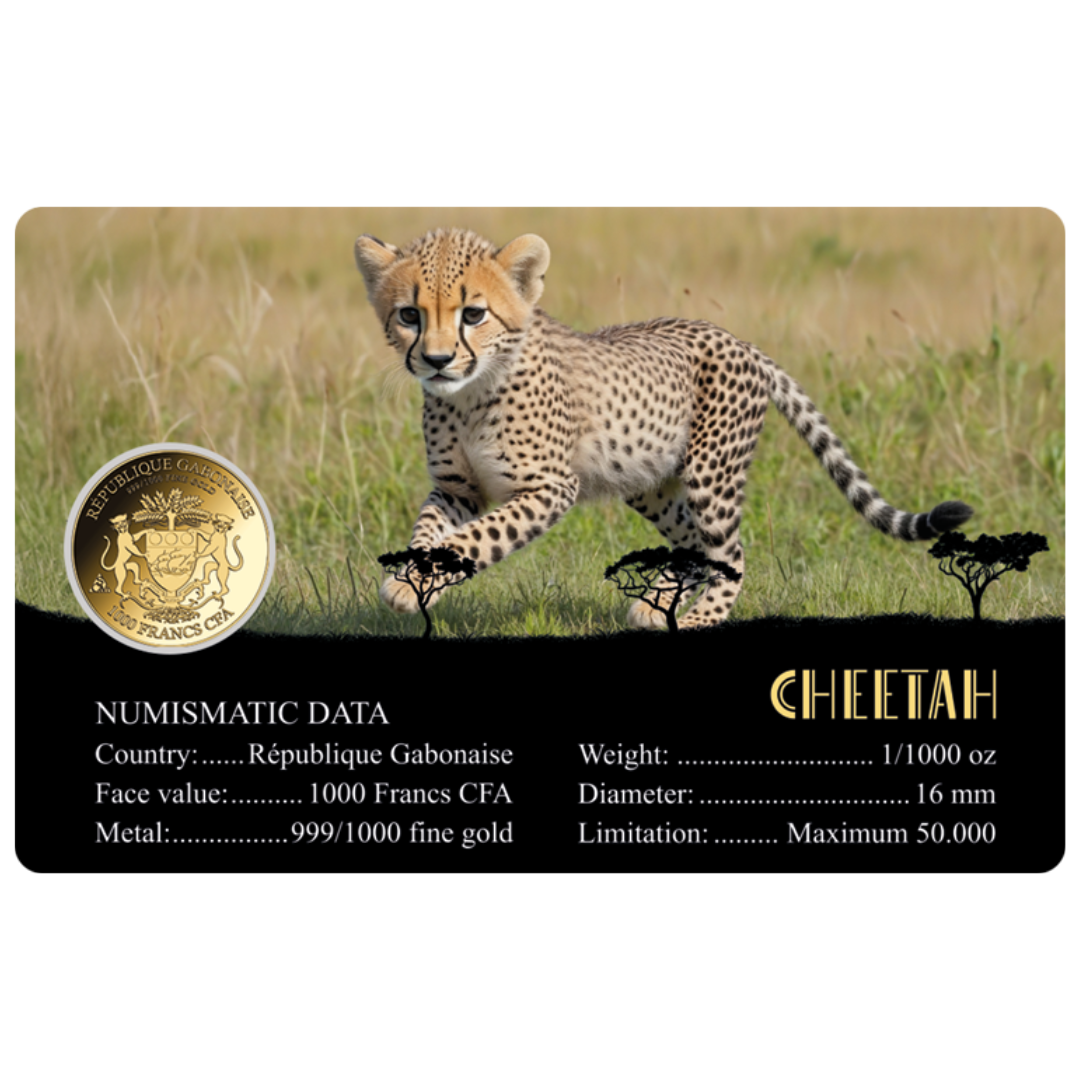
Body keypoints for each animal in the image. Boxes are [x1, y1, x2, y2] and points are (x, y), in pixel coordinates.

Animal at [355, 227, 972, 630]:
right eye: (409, 315)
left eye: (473, 314)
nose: (436, 361)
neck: (470, 393)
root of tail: (737, 339)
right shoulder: (457, 487)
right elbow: (430, 531)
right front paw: (411, 579)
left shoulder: (549, 487)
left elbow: (476, 538)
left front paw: (411, 584)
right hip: (650, 483)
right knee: (694, 544)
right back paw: (657, 608)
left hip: (710, 474)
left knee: (731, 552)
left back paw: (699, 620)